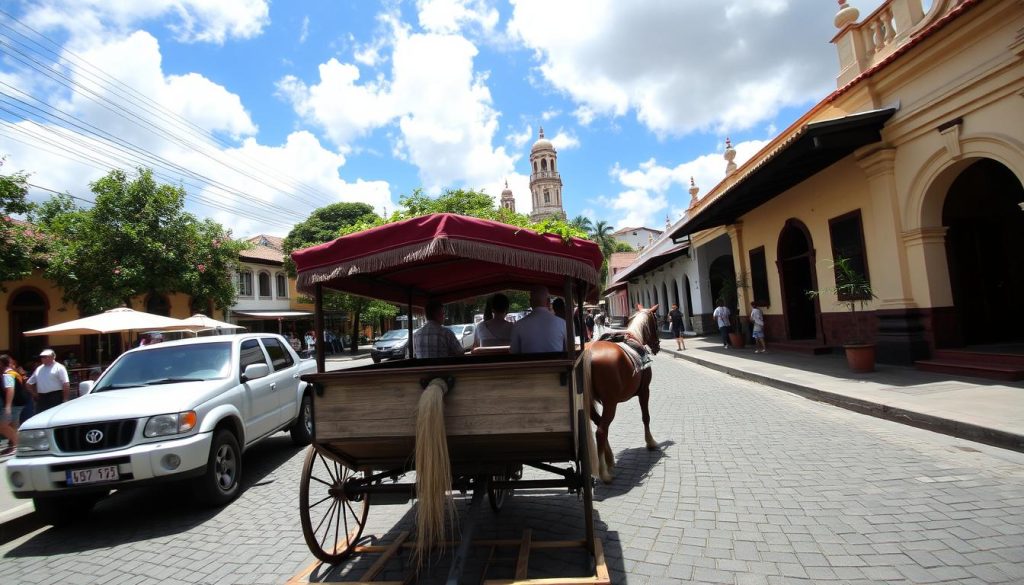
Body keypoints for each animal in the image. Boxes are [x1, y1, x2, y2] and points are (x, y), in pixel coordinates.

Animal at [585, 305, 663, 483]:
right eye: (656, 323)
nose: (657, 346)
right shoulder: (645, 391)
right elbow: (646, 417)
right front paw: (650, 442)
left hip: (589, 403)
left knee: (600, 425)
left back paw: (610, 460)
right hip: (610, 403)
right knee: (601, 431)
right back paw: (604, 473)